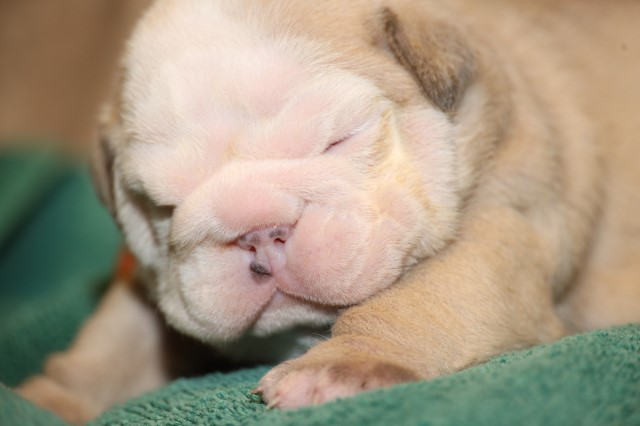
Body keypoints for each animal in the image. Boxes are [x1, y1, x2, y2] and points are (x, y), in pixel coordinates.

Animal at [16, 0, 640, 422]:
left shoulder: (502, 223)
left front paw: (341, 366)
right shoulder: (142, 284)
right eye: (163, 207)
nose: (259, 232)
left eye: (339, 140)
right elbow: (113, 343)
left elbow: (423, 297)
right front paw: (46, 400)